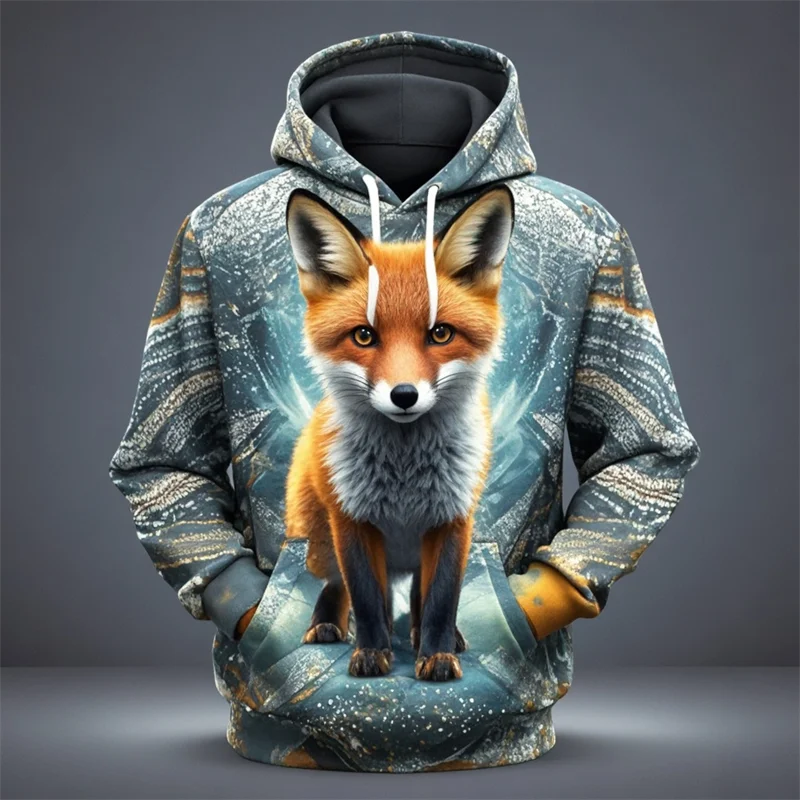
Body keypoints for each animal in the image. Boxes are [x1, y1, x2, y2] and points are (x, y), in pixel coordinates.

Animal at [283, 184, 515, 681]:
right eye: (364, 336)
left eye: (441, 333)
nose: (404, 395)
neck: (405, 474)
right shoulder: (351, 519)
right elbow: (367, 596)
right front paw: (371, 653)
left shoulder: (453, 518)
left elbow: (440, 598)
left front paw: (437, 655)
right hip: (317, 541)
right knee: (339, 583)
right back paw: (331, 624)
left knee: (414, 594)